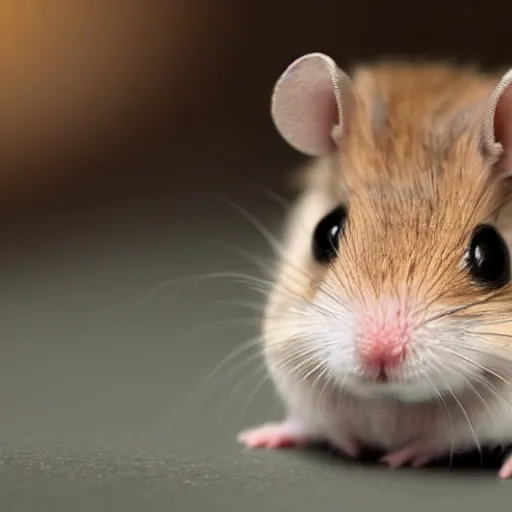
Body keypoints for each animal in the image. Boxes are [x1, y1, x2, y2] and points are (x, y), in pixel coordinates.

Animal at [239, 54, 512, 478]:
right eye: (325, 232)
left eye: (492, 256)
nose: (378, 354)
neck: (391, 401)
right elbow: (319, 423)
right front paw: (257, 438)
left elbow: (442, 439)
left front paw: (398, 458)